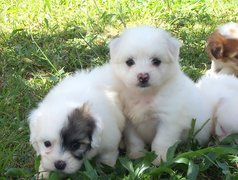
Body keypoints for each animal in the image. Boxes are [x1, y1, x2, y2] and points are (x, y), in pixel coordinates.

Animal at [110, 25, 213, 165]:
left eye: (156, 61)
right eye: (129, 62)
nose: (143, 76)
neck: (144, 95)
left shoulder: (168, 121)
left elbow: (160, 142)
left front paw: (159, 160)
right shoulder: (129, 122)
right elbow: (134, 140)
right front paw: (136, 155)